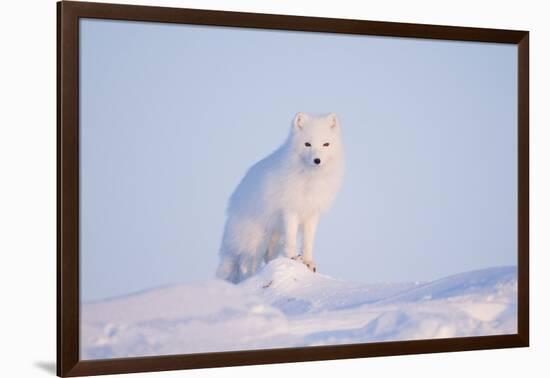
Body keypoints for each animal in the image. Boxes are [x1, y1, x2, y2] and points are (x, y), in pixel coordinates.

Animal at [217, 112, 342, 284]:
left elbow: (308, 241)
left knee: (267, 258)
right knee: (245, 265)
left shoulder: (311, 213)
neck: (309, 180)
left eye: (326, 144)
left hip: (271, 241)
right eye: (307, 144)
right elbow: (291, 239)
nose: (317, 160)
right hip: (256, 241)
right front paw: (293, 257)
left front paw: (308, 262)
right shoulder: (290, 210)